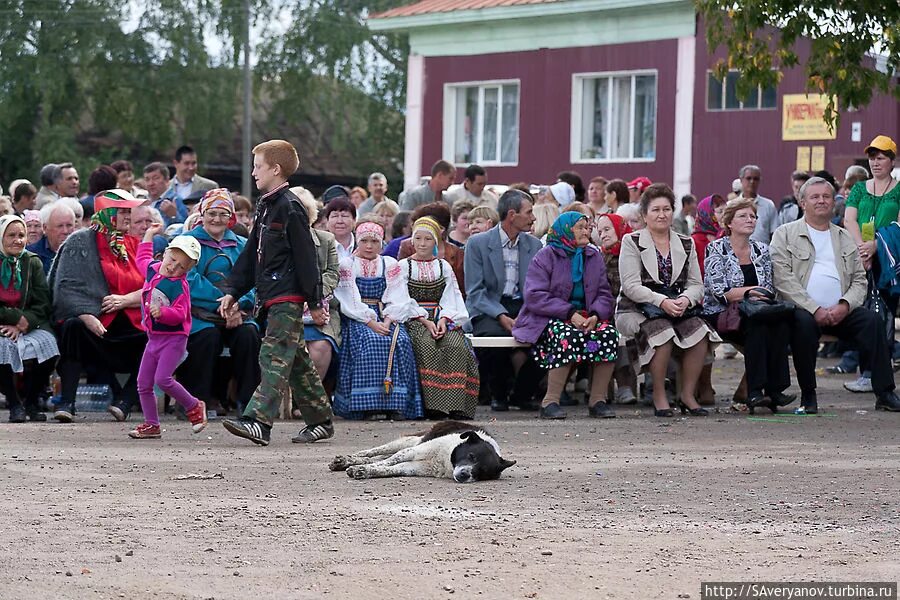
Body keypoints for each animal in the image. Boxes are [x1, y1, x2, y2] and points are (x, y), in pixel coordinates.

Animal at [328, 422, 512, 482]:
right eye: (471, 456)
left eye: (483, 471)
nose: (464, 475)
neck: (447, 461)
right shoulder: (413, 451)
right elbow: (386, 462)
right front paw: (358, 468)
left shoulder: (414, 467)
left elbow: (390, 468)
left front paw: (365, 471)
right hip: (409, 441)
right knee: (373, 453)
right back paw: (347, 460)